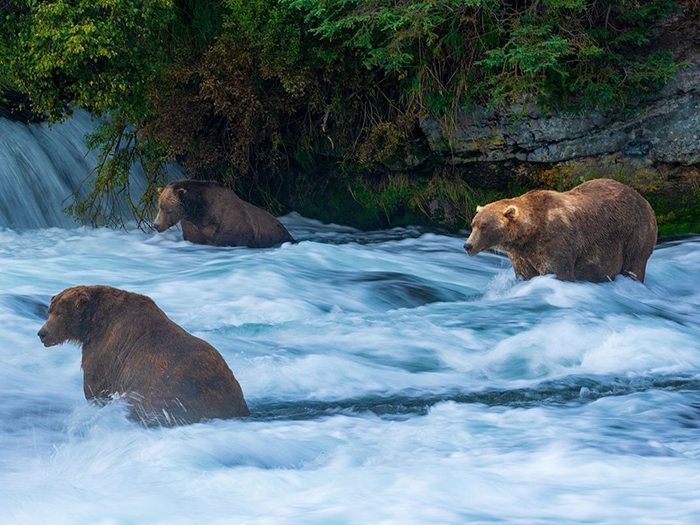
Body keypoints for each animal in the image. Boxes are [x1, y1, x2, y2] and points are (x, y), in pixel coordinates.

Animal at [36, 284, 249, 424]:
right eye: (49, 311)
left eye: (59, 313)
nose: (42, 333)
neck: (91, 325)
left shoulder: (104, 350)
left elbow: (95, 387)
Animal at [464, 178, 656, 280]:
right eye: (473, 224)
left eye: (484, 226)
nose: (467, 245)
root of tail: (643, 198)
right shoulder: (521, 256)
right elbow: (525, 275)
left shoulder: (554, 241)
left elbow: (559, 272)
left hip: (636, 232)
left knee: (635, 263)